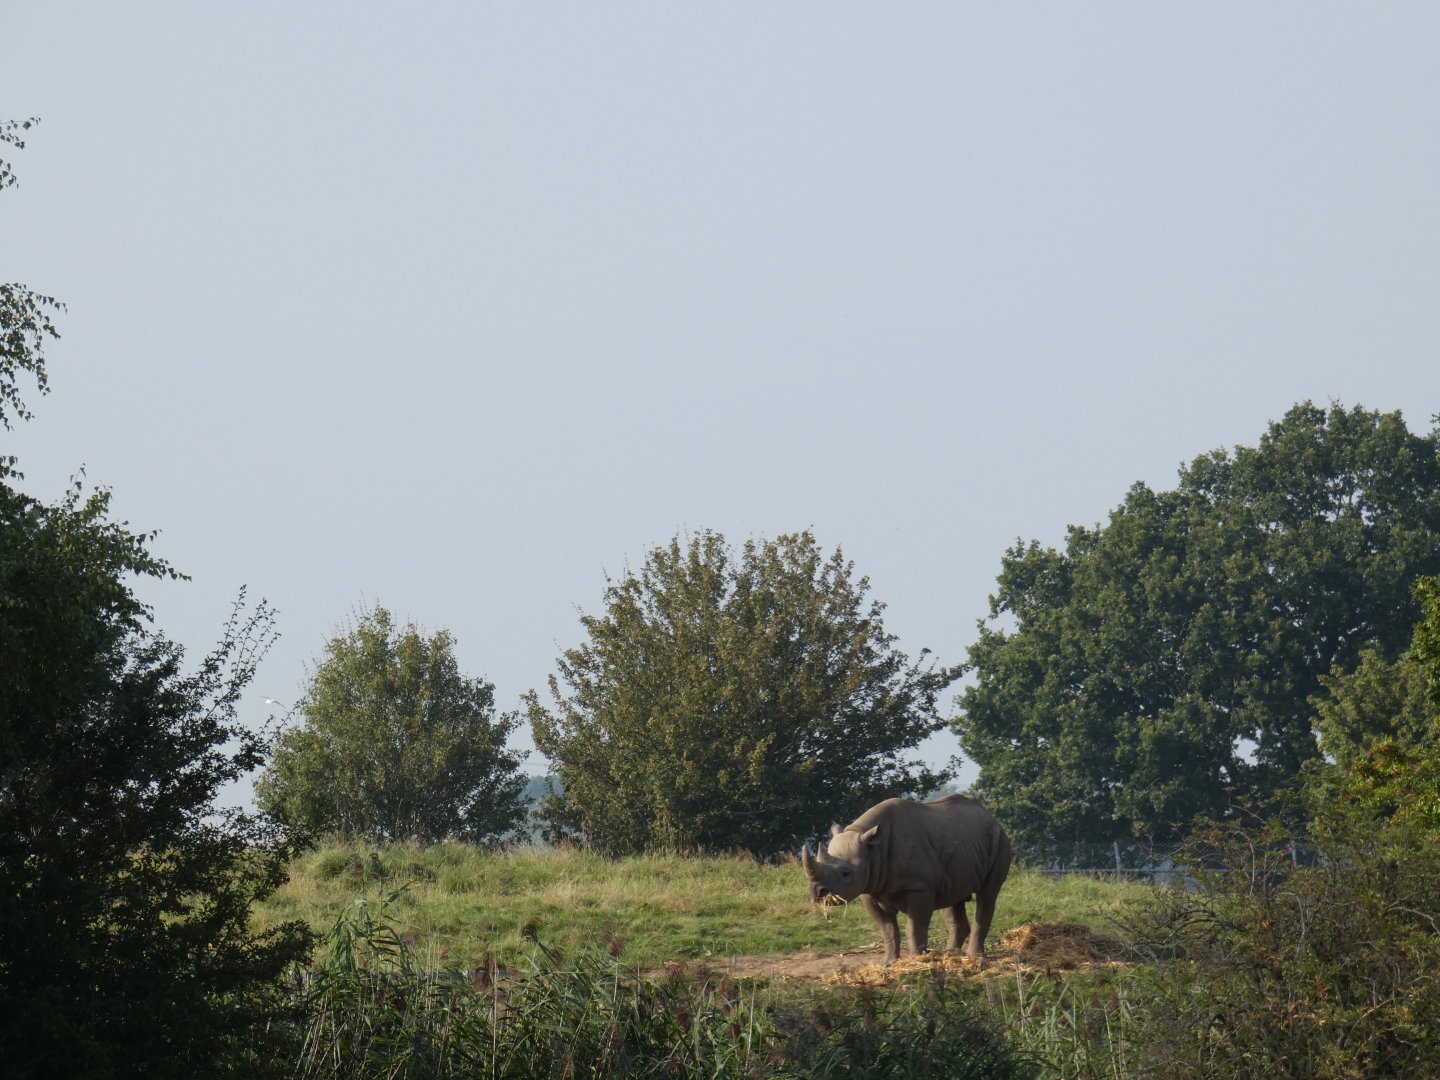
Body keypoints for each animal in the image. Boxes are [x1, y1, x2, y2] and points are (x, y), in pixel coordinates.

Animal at [799, 794, 1012, 966]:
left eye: (845, 873)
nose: (817, 892)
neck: (873, 850)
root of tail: (989, 816)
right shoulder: (869, 888)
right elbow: (887, 929)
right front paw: (888, 963)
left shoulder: (920, 888)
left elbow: (914, 927)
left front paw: (918, 959)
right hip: (962, 844)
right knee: (954, 897)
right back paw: (951, 955)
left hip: (999, 839)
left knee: (988, 894)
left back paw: (975, 958)